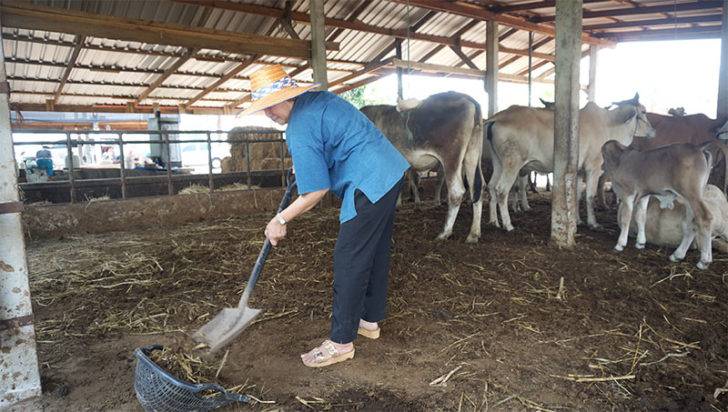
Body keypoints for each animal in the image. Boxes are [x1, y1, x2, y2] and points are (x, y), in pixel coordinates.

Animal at [600, 141, 724, 270]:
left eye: (603, 155)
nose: (601, 166)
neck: (621, 160)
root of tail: (699, 149)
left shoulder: (627, 194)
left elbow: (626, 218)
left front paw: (620, 244)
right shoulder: (644, 195)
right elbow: (641, 217)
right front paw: (640, 242)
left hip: (692, 195)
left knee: (705, 218)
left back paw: (703, 261)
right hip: (689, 200)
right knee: (692, 223)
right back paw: (678, 255)